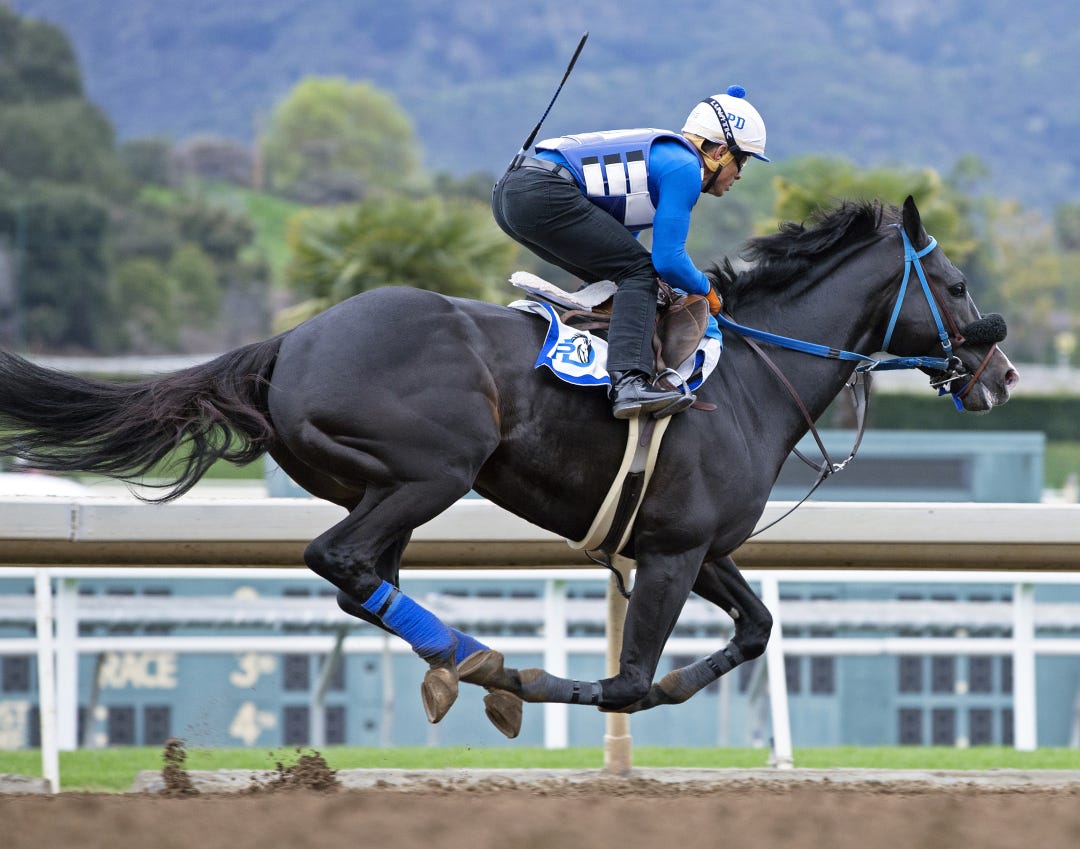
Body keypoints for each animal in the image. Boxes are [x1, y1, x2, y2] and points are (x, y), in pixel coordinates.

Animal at [0, 196, 1017, 738]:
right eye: (959, 285)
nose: (1003, 373)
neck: (752, 376)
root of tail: (290, 342)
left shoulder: (697, 545)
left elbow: (758, 627)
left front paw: (675, 683)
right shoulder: (673, 551)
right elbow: (626, 682)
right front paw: (553, 686)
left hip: (386, 485)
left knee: (362, 577)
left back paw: (464, 661)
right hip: (431, 471)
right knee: (342, 559)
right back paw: (485, 665)